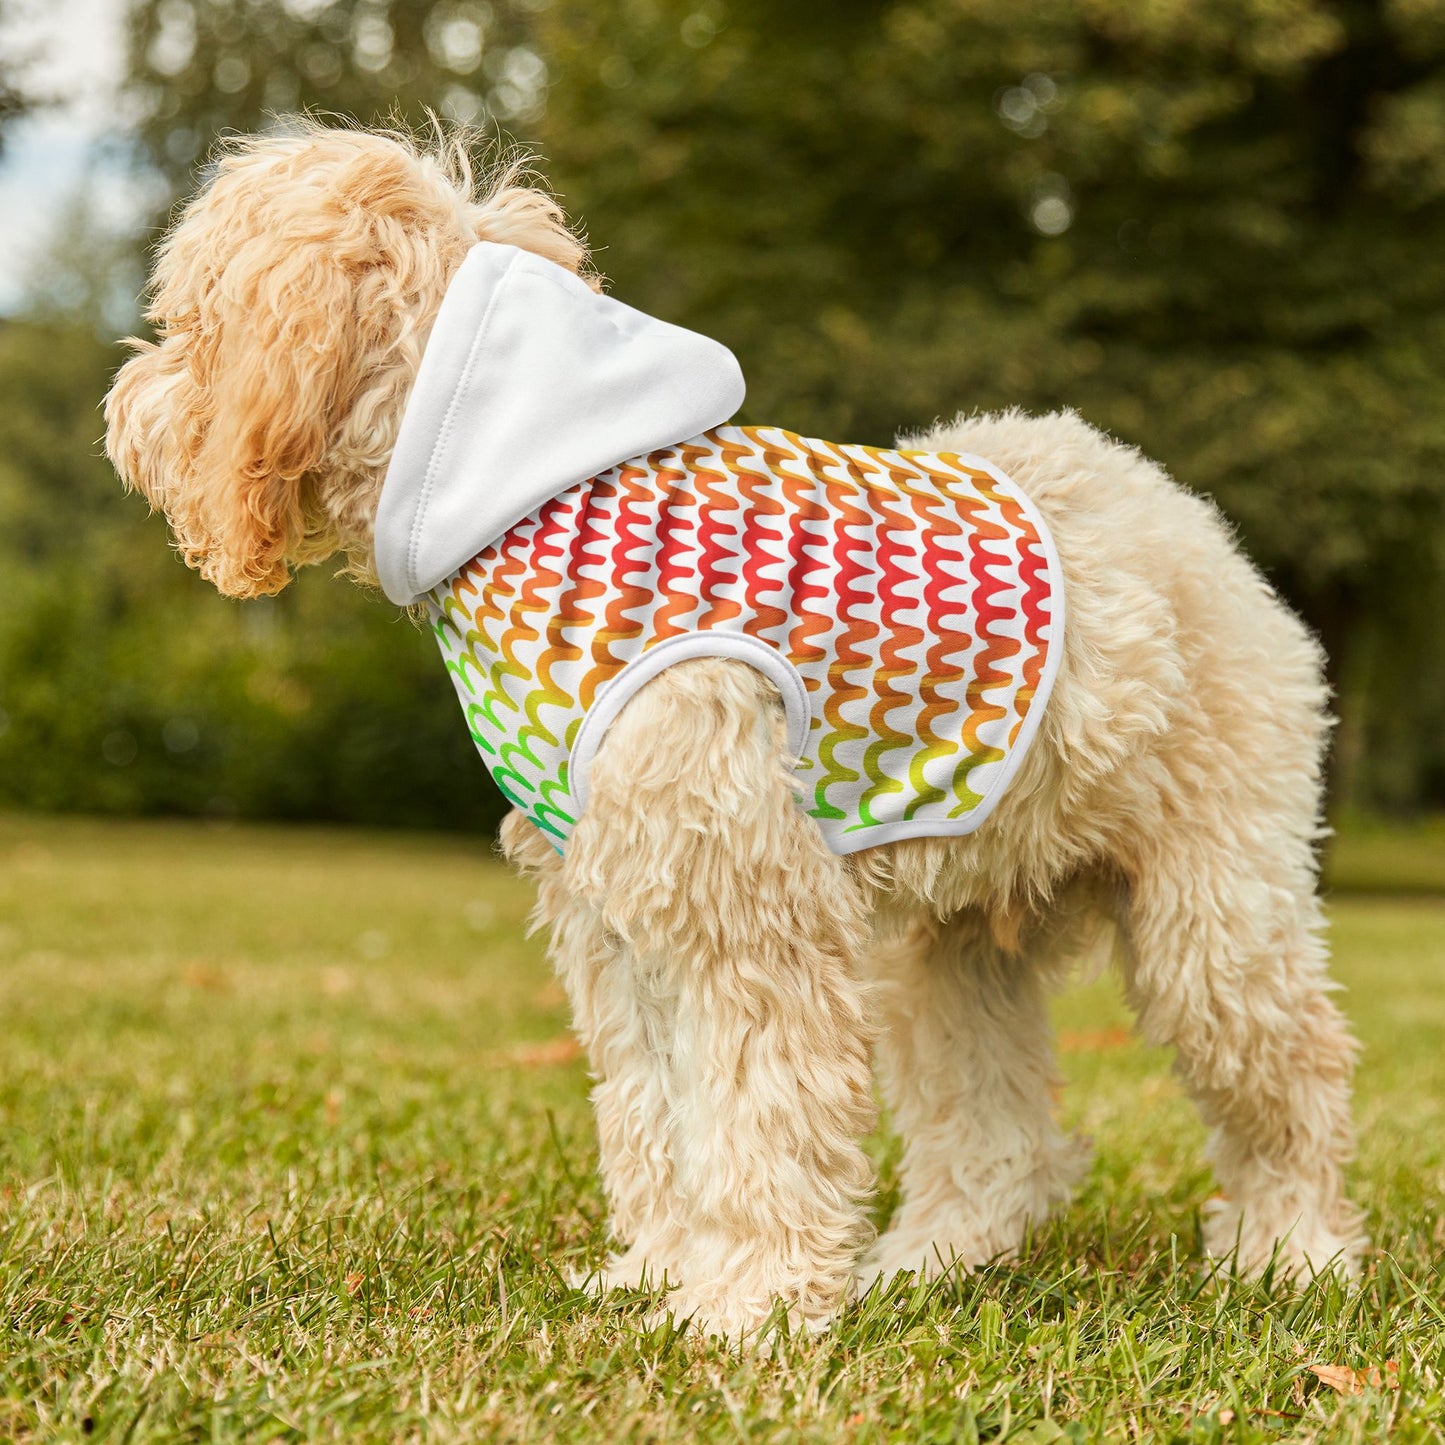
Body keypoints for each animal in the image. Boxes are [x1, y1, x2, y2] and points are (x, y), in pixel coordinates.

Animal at [106, 124, 1358, 1340]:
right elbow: (655, 1113)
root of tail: (1183, 516)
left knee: (1293, 1075)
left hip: (1212, 914)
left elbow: (759, 1115)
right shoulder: (615, 915)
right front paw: (661, 1273)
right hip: (949, 947)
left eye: (189, 322)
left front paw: (745, 1305)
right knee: (998, 1135)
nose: (123, 408)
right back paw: (930, 1261)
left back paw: (1291, 1253)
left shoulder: (744, 909)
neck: (530, 494)